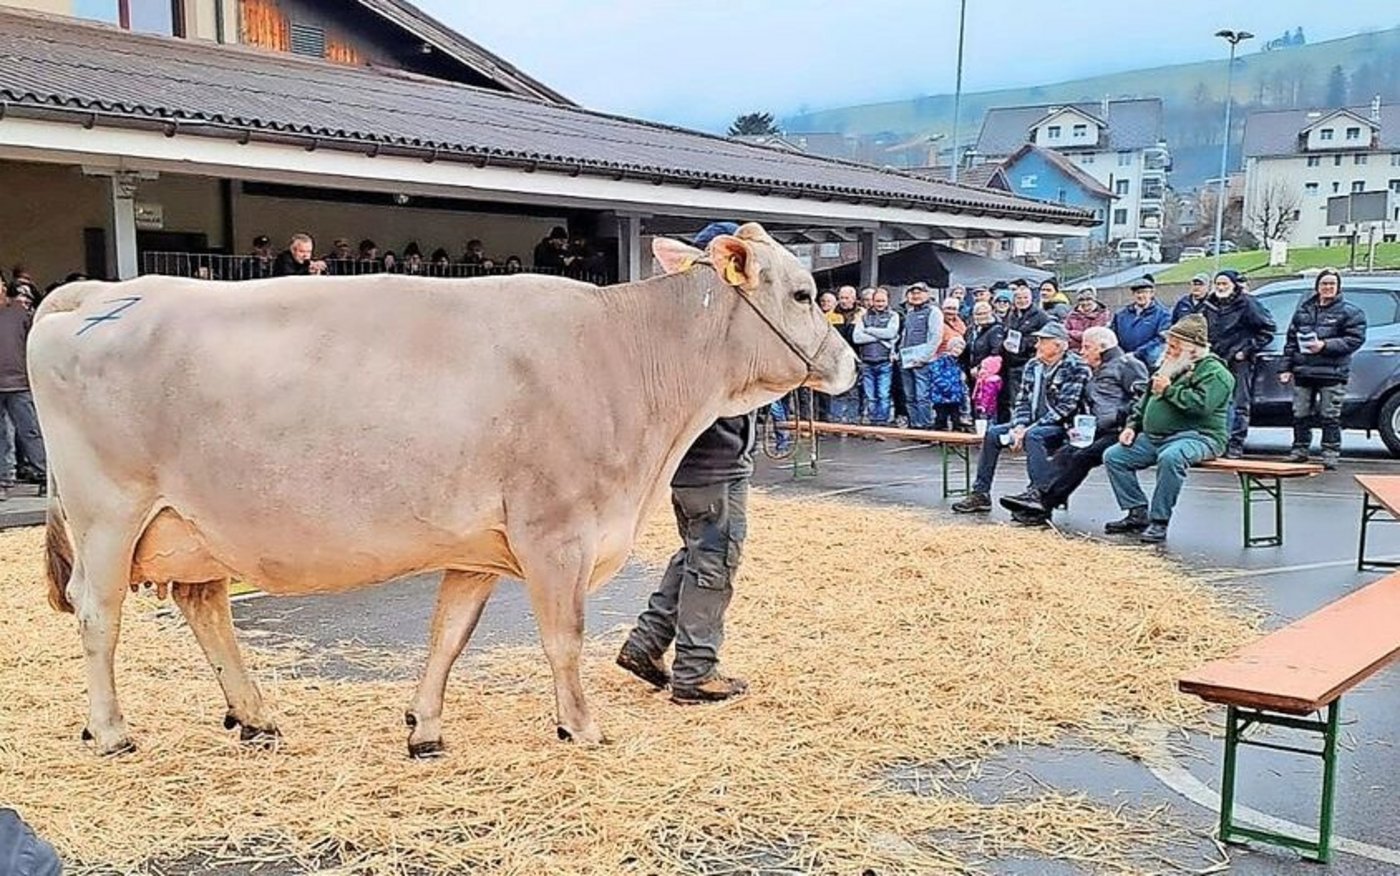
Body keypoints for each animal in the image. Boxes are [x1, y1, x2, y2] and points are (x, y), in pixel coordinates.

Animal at [29, 223, 859, 757]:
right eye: (804, 292)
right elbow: (564, 637)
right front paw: (581, 727)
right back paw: (111, 731)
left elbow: (448, 636)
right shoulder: (555, 532)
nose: (849, 363)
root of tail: (94, 292)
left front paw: (423, 727)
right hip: (110, 516)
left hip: (194, 528)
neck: (627, 355)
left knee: (203, 608)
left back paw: (256, 717)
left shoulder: (480, 548)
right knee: (98, 615)